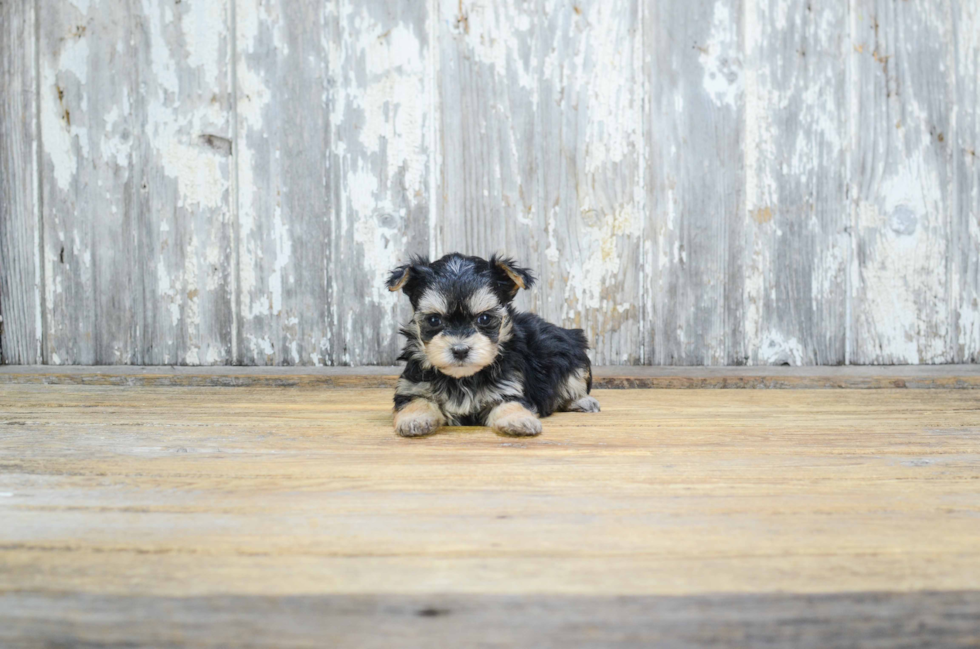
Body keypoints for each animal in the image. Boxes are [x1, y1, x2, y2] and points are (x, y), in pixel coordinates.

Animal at [382, 251, 596, 438]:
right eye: (434, 320)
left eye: (484, 318)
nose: (460, 350)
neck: (462, 379)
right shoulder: (412, 386)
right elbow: (415, 400)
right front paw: (414, 419)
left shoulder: (508, 386)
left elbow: (511, 403)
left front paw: (519, 420)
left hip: (570, 355)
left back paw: (583, 401)